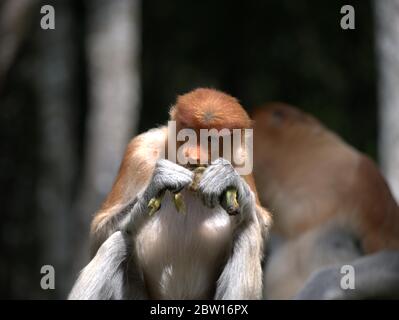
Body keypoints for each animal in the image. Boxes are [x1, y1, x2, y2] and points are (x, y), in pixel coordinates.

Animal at [70, 88, 274, 300]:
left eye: (210, 139)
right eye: (189, 132)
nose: (192, 155)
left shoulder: (243, 159)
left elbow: (262, 228)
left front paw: (225, 177)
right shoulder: (139, 151)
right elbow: (98, 232)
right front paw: (158, 183)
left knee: (248, 231)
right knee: (116, 244)